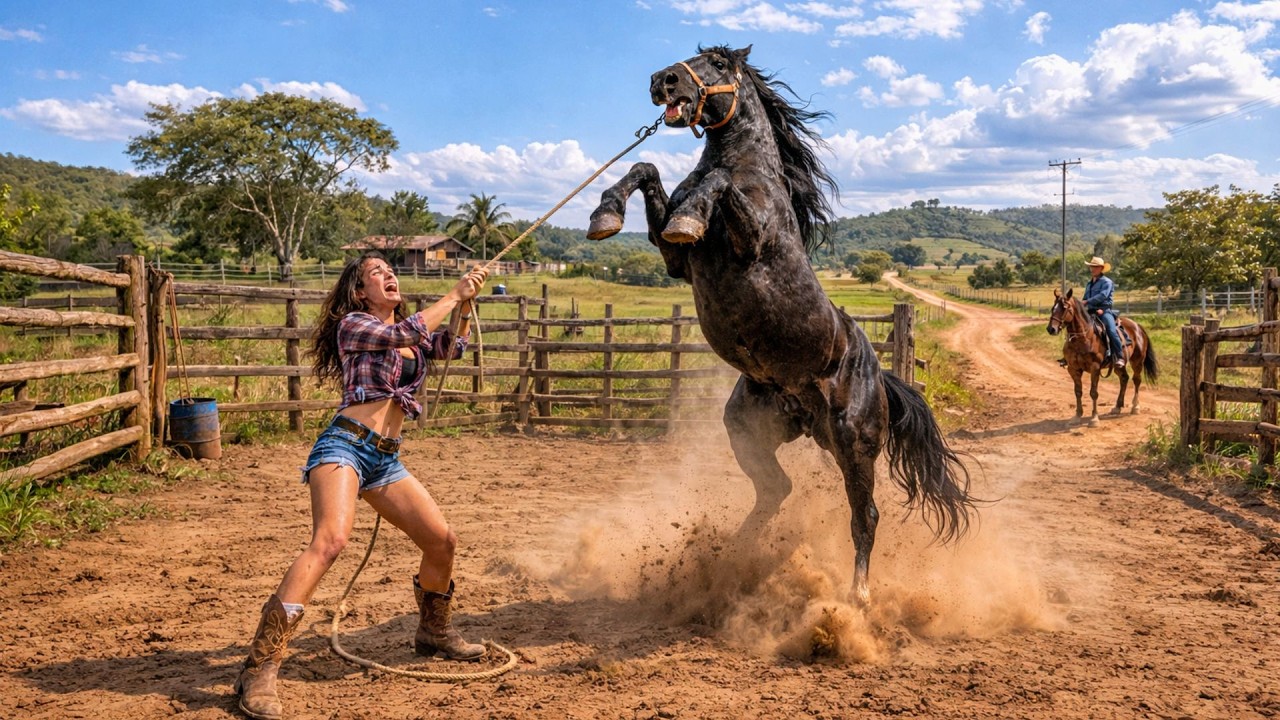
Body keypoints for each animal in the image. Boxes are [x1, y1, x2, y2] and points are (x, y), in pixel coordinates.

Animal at [586, 45, 975, 607]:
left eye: (717, 61)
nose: (663, 80)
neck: (749, 168)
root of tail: (879, 377)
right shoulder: (678, 263)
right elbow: (646, 167)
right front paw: (606, 215)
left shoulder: (748, 239)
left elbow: (717, 184)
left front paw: (691, 211)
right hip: (750, 428)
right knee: (775, 491)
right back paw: (732, 559)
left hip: (853, 444)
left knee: (865, 515)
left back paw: (857, 597)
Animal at [1047, 287, 1159, 426]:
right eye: (1053, 308)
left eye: (1065, 307)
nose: (1051, 329)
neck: (1084, 337)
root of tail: (1138, 326)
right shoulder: (1073, 369)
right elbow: (1078, 391)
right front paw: (1077, 416)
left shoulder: (1095, 368)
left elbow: (1093, 393)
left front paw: (1094, 418)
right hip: (1119, 365)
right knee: (1124, 378)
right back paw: (1117, 406)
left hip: (1137, 361)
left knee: (1136, 380)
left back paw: (1135, 407)